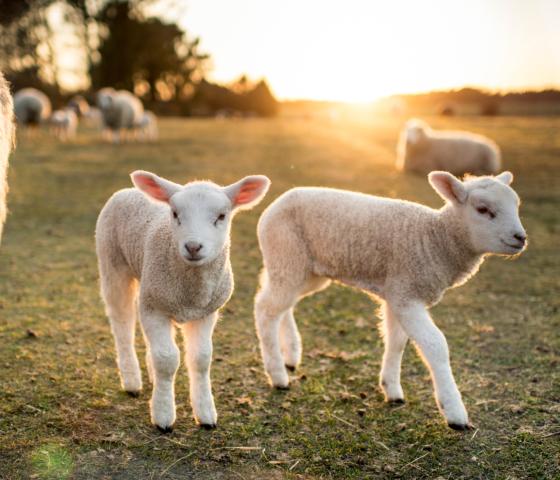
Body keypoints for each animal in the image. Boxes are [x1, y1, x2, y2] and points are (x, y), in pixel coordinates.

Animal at [96, 170, 272, 432]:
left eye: (221, 216)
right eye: (175, 214)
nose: (193, 246)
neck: (191, 293)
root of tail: (128, 190)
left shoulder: (205, 312)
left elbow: (201, 359)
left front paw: (206, 414)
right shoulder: (156, 307)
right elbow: (167, 359)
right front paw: (163, 415)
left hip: (148, 286)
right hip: (113, 266)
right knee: (122, 325)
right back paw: (132, 380)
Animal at [256, 171, 528, 430]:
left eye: (516, 205)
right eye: (482, 209)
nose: (520, 237)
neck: (436, 239)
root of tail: (278, 201)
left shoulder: (397, 293)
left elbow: (397, 342)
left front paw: (392, 389)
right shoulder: (406, 295)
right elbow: (436, 345)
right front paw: (454, 412)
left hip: (306, 271)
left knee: (282, 304)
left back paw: (291, 354)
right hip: (287, 255)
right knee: (266, 309)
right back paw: (278, 374)